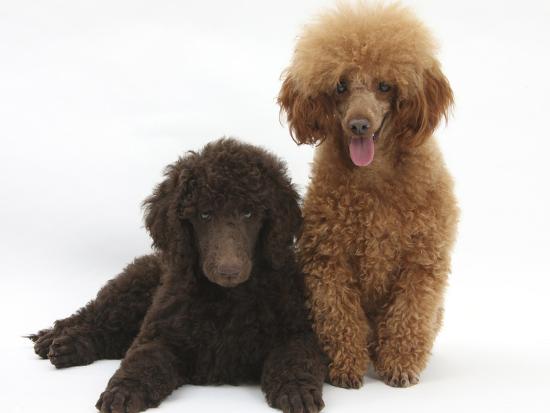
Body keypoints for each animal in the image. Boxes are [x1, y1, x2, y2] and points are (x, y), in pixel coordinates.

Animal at [29, 139, 328, 412]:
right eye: (204, 215)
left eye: (248, 212)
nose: (229, 271)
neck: (227, 298)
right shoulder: (159, 335)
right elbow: (142, 361)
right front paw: (124, 391)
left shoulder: (297, 333)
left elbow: (294, 359)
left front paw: (297, 389)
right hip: (128, 291)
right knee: (92, 316)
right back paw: (54, 339)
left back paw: (69, 347)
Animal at [278, 3, 460, 388]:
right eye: (340, 85)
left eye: (385, 85)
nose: (359, 124)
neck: (374, 178)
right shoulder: (328, 259)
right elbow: (339, 316)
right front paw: (346, 365)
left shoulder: (422, 261)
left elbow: (409, 315)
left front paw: (400, 365)